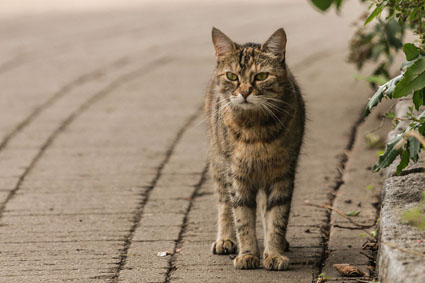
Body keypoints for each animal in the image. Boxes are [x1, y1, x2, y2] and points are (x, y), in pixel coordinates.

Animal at [204, 27, 304, 272]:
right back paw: (225, 240)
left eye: (261, 76)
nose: (245, 92)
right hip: (218, 164)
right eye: (232, 76)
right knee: (224, 204)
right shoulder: (236, 176)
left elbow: (277, 218)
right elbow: (243, 218)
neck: (255, 129)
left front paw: (274, 253)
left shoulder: (282, 175)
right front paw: (248, 254)